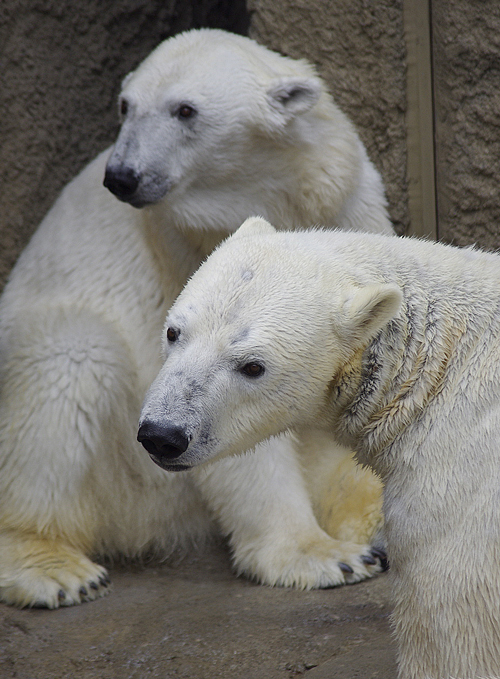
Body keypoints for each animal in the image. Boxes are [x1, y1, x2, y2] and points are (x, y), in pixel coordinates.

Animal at [0, 27, 390, 612]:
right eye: (125, 105)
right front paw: (320, 556)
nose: (122, 176)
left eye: (185, 110)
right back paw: (55, 568)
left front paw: (370, 523)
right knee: (69, 363)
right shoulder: (190, 255)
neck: (273, 195)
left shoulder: (345, 209)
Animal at [138, 216, 500, 679]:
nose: (163, 434)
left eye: (252, 366)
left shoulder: (458, 483)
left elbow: (452, 623)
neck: (434, 362)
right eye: (173, 332)